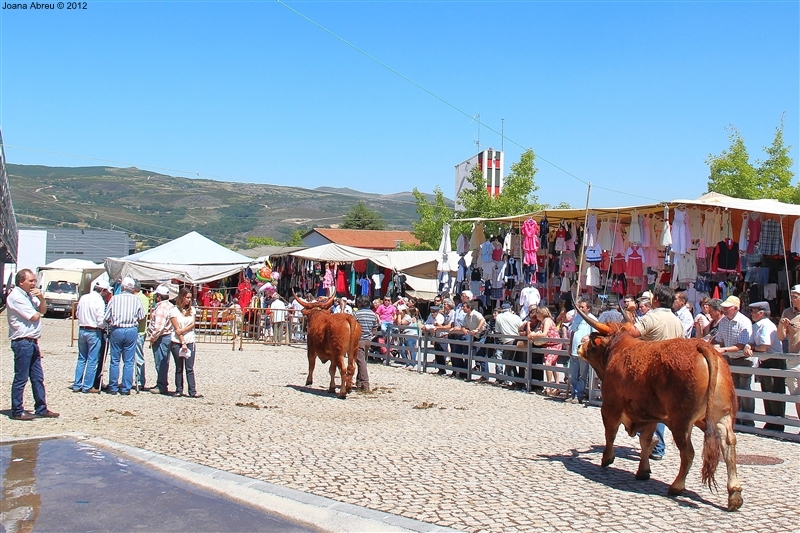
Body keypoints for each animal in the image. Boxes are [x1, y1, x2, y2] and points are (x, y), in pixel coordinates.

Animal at [576, 302, 744, 510]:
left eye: (592, 341)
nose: (578, 345)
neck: (618, 350)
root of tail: (703, 347)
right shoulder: (649, 415)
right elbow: (646, 441)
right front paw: (643, 471)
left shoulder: (610, 407)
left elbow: (611, 434)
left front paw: (607, 459)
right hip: (720, 417)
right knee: (728, 444)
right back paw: (734, 493)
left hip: (681, 421)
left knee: (688, 452)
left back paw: (677, 486)